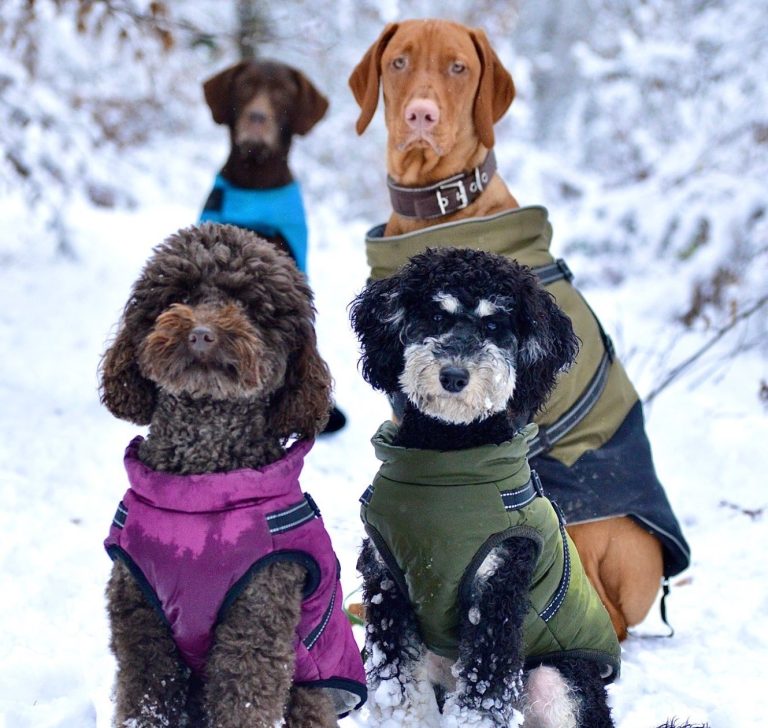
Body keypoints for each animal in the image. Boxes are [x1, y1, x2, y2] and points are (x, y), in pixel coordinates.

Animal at [352, 246, 620, 728]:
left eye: (494, 327)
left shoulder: (497, 591)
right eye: (436, 317)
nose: (454, 375)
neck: (447, 463)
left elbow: (481, 701)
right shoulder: (387, 582)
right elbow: (400, 697)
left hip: (556, 678)